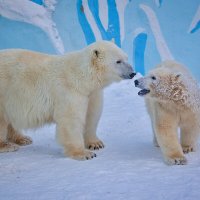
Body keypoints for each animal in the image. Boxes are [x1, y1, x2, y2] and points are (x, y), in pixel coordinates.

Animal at [0, 41, 136, 161]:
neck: (81, 77)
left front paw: (96, 144)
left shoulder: (91, 94)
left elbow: (92, 116)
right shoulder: (70, 91)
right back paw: (7, 145)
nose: (133, 73)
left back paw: (23, 139)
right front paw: (84, 154)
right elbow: (71, 120)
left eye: (126, 58)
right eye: (118, 61)